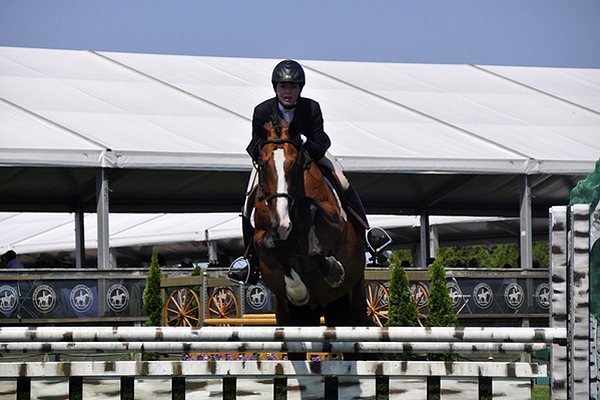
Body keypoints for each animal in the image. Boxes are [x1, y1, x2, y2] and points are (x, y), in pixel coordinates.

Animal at [251, 115, 368, 332]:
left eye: (296, 163)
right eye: (262, 164)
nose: (283, 224)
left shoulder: (337, 225)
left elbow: (308, 207)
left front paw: (334, 271)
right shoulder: (260, 237)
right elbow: (271, 243)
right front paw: (297, 290)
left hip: (351, 306)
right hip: (293, 316)